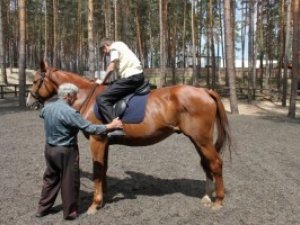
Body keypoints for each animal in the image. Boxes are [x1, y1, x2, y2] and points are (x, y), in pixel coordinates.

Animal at [26, 60, 232, 215]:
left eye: (35, 81)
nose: (29, 101)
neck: (88, 98)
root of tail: (205, 91)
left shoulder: (96, 140)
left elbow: (97, 170)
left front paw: (95, 204)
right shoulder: (104, 141)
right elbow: (103, 168)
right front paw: (103, 197)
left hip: (201, 139)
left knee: (215, 163)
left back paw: (218, 200)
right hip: (198, 140)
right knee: (206, 163)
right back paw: (207, 196)